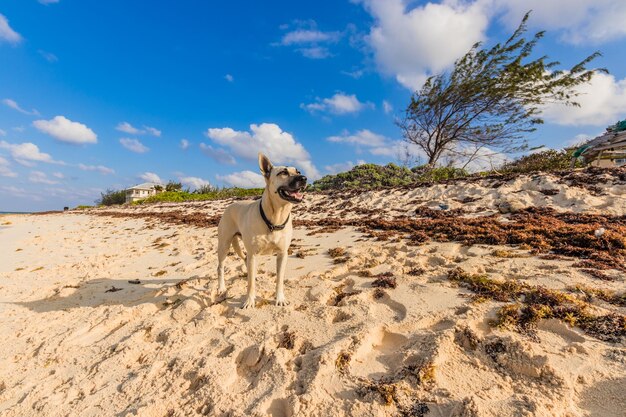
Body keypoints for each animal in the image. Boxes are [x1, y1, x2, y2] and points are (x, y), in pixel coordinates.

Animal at [216, 154, 306, 308]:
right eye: (283, 172)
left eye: (298, 171)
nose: (304, 178)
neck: (275, 218)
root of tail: (230, 205)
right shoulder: (253, 254)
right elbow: (250, 284)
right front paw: (249, 301)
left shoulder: (282, 254)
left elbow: (279, 279)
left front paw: (280, 298)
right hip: (224, 245)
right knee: (221, 267)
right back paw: (222, 287)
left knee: (246, 262)